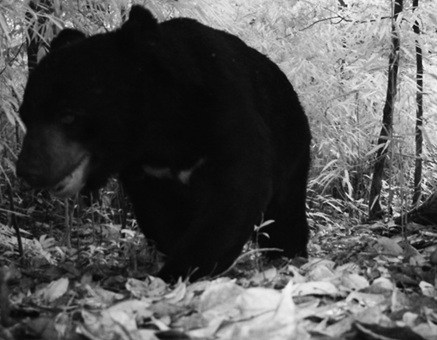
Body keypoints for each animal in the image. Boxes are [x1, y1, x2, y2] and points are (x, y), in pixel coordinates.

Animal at [16, 5, 310, 282]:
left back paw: (289, 255)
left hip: (292, 151)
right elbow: (159, 215)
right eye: (25, 117)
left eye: (68, 115)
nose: (28, 170)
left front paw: (178, 270)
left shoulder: (226, 117)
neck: (159, 134)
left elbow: (237, 193)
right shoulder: (147, 173)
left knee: (284, 216)